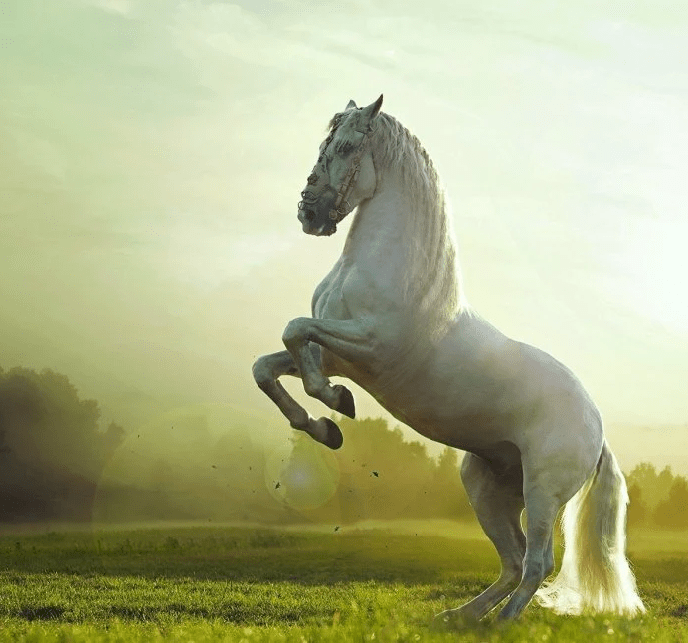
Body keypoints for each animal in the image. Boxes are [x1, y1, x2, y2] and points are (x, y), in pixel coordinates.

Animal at [252, 95, 645, 621]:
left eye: (348, 146)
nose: (309, 213)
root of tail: (596, 428)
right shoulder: (337, 354)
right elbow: (269, 364)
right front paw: (324, 426)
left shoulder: (369, 346)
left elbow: (295, 332)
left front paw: (335, 405)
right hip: (486, 486)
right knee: (514, 561)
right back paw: (459, 618)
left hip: (543, 491)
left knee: (538, 562)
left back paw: (499, 625)